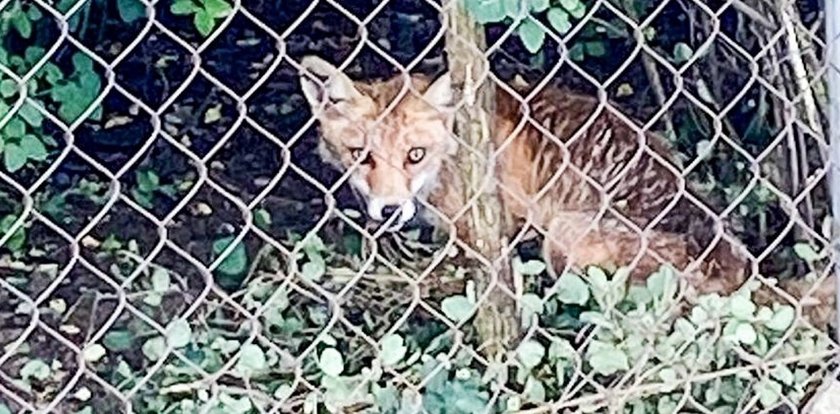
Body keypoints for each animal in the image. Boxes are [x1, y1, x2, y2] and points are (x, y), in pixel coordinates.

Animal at [296, 56, 832, 330]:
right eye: (360, 155)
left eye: (414, 155)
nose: (388, 210)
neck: (457, 150)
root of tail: (740, 271)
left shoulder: (492, 227)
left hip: (564, 237)